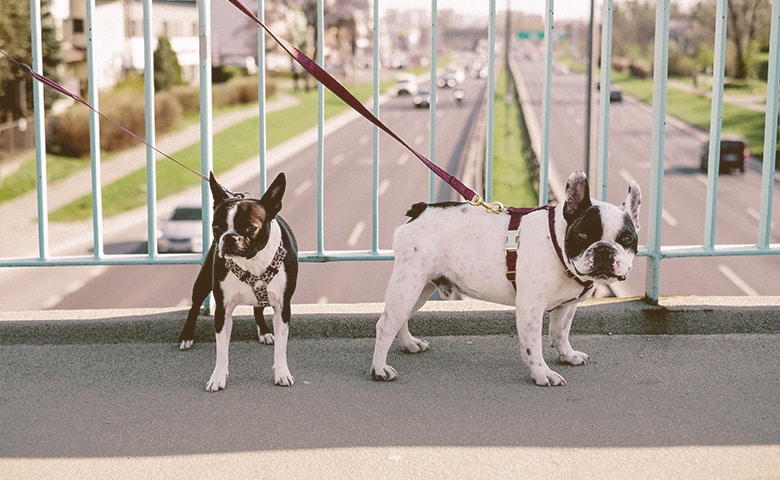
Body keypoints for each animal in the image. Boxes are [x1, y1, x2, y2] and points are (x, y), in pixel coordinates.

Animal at [203, 172, 298, 390]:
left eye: (250, 227)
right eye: (216, 228)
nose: (229, 237)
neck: (252, 262)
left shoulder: (283, 308)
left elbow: (281, 347)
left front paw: (282, 372)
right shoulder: (222, 311)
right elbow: (222, 351)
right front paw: (217, 377)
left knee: (258, 309)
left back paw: (264, 332)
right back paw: (186, 338)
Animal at [372, 172, 640, 386]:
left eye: (626, 239)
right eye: (583, 235)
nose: (604, 249)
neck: (558, 245)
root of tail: (420, 209)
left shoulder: (566, 307)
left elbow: (560, 333)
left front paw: (567, 355)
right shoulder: (530, 308)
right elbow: (534, 345)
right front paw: (542, 374)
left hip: (421, 287)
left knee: (400, 319)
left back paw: (409, 344)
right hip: (408, 284)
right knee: (385, 324)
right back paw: (379, 369)